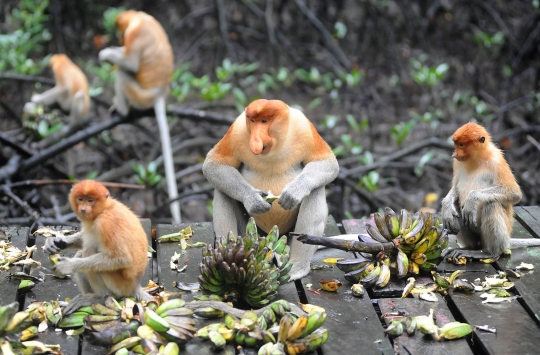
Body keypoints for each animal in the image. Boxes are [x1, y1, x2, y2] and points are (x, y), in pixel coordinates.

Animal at [42, 181, 151, 314]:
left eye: (90, 200)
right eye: (80, 199)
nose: (83, 209)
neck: (105, 209)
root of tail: (135, 286)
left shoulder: (105, 224)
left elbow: (123, 259)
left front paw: (68, 265)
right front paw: (56, 242)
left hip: (120, 285)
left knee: (92, 257)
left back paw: (100, 298)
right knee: (81, 253)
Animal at [97, 11, 181, 225]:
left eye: (122, 32)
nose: (120, 40)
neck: (141, 18)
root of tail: (159, 94)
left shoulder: (136, 34)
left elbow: (131, 62)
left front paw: (107, 54)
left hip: (140, 96)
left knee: (122, 73)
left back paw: (121, 109)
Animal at [202, 98, 338, 280]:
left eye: (265, 121)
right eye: (253, 121)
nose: (255, 139)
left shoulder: (304, 127)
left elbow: (328, 162)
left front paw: (293, 192)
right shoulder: (237, 130)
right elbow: (214, 164)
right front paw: (253, 199)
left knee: (315, 191)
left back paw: (297, 267)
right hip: (250, 233)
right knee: (222, 191)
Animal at [440, 122, 540, 258]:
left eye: (461, 144)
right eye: (456, 144)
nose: (454, 154)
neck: (476, 159)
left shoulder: (497, 161)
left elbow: (514, 193)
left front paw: (472, 199)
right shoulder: (457, 163)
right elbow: (455, 187)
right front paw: (446, 207)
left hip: (500, 235)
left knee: (492, 205)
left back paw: (490, 253)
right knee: (458, 209)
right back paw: (470, 248)